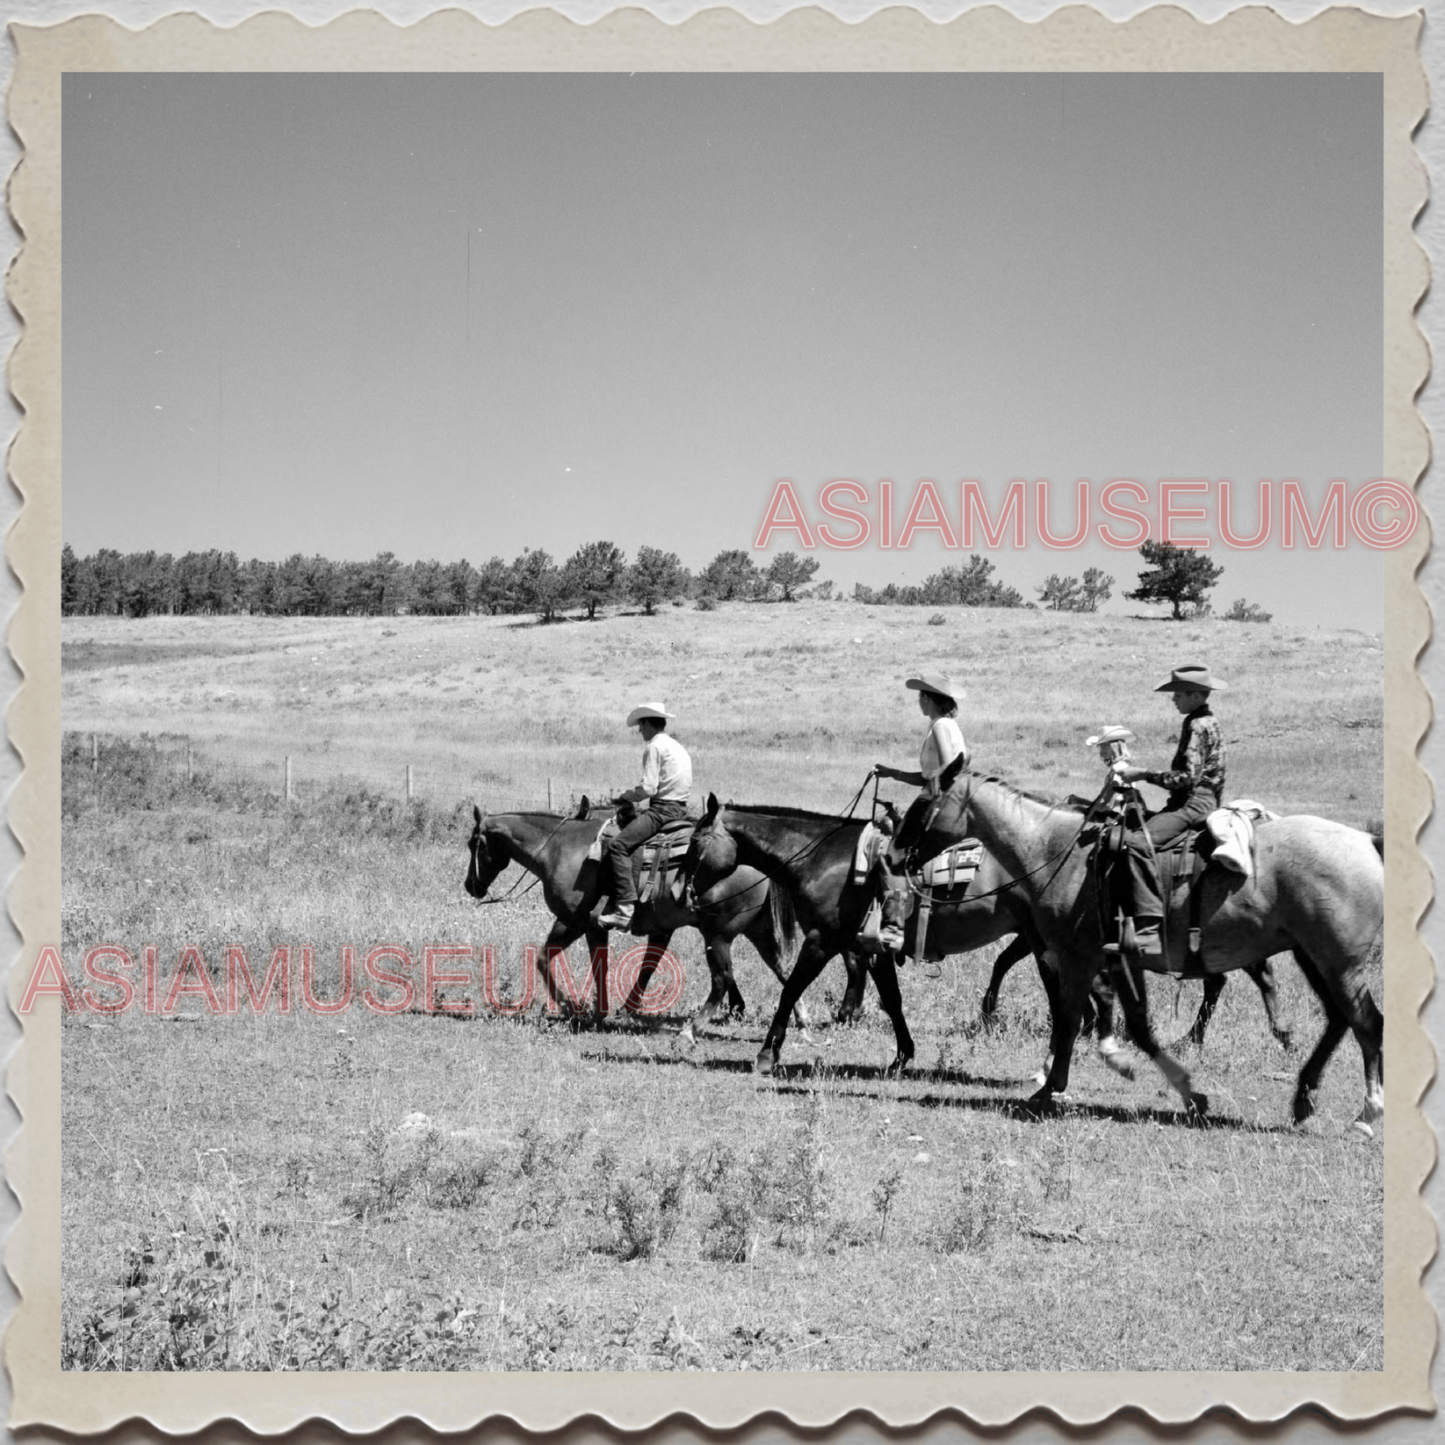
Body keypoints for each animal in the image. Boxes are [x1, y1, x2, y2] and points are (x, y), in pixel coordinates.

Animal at [468, 803, 820, 1028]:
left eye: (472, 843)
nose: (470, 885)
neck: (561, 849)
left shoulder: (575, 921)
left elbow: (550, 959)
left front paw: (576, 1008)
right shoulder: (593, 926)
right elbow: (599, 963)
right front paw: (596, 1009)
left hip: (719, 934)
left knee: (730, 974)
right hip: (756, 930)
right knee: (782, 967)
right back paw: (798, 1018)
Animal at [919, 774, 1381, 1132]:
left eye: (924, 803)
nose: (903, 852)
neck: (1057, 854)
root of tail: (1366, 841)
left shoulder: (1074, 956)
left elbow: (1068, 1020)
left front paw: (1050, 1086)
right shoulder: (1116, 960)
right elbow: (1137, 1027)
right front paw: (1188, 1092)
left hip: (1336, 961)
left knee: (1365, 1022)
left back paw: (1365, 1113)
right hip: (1313, 955)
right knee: (1336, 1017)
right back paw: (1302, 1094)